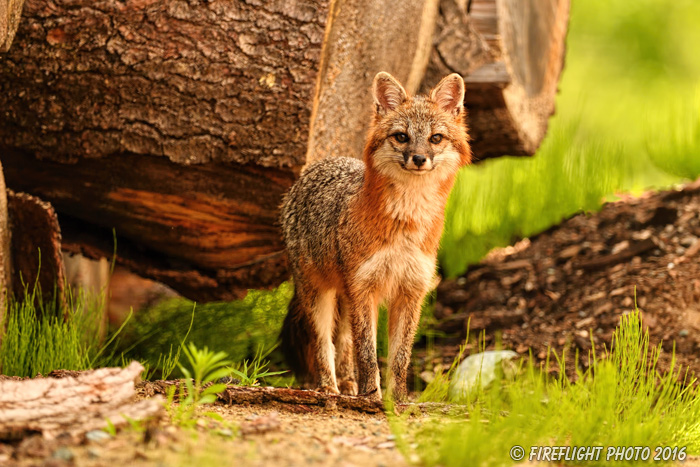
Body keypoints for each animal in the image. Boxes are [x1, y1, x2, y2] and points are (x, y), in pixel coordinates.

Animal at [278, 71, 470, 400]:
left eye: (435, 138)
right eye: (401, 136)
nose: (419, 158)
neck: (406, 223)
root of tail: (319, 165)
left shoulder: (410, 291)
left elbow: (400, 357)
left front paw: (399, 400)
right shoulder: (364, 289)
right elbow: (367, 353)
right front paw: (372, 396)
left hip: (344, 297)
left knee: (343, 343)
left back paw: (348, 386)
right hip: (319, 296)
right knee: (324, 345)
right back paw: (330, 389)